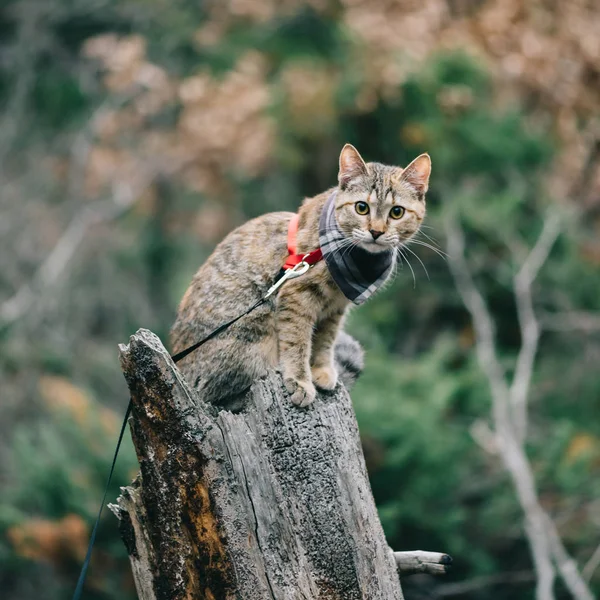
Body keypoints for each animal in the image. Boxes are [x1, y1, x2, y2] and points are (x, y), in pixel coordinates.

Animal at [171, 143, 428, 410]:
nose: (376, 232)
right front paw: (300, 381)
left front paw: (322, 370)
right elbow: (297, 343)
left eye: (397, 212)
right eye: (361, 207)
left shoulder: (335, 309)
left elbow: (325, 341)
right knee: (223, 393)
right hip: (253, 334)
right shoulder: (296, 297)